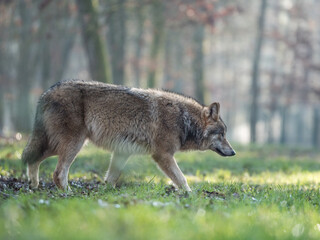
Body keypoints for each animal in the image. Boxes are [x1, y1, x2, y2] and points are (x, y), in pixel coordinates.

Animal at [21, 79, 235, 192]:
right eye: (222, 134)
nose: (233, 152)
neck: (184, 119)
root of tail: (46, 93)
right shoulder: (163, 155)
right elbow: (182, 179)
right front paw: (191, 195)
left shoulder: (122, 153)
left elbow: (110, 179)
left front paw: (105, 195)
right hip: (73, 144)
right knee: (58, 173)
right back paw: (68, 194)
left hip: (55, 144)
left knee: (32, 159)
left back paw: (34, 186)